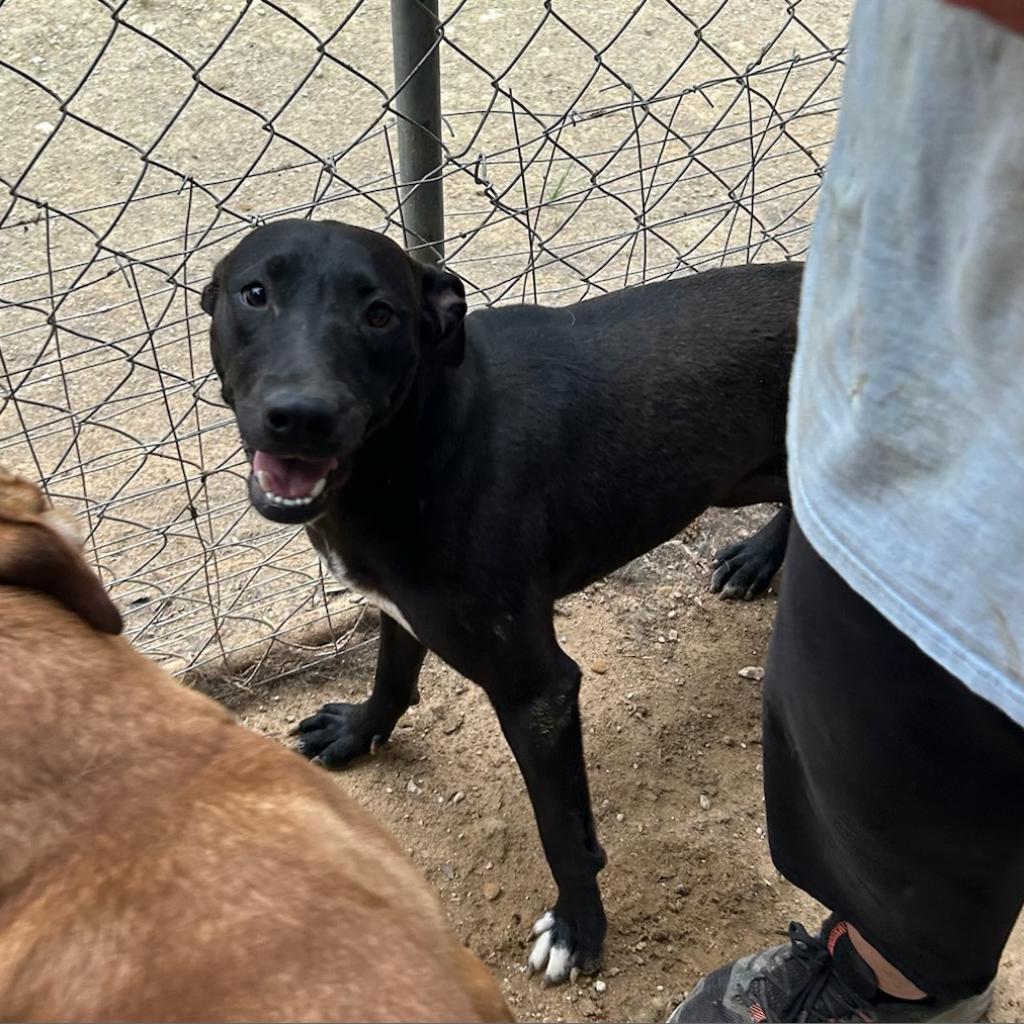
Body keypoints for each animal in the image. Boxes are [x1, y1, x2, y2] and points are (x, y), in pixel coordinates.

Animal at [201, 222, 798, 983]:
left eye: (380, 314)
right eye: (255, 294)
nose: (301, 417)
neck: (419, 440)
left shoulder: (537, 689)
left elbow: (563, 831)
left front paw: (580, 928)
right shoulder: (401, 604)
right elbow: (391, 673)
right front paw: (360, 730)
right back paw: (758, 560)